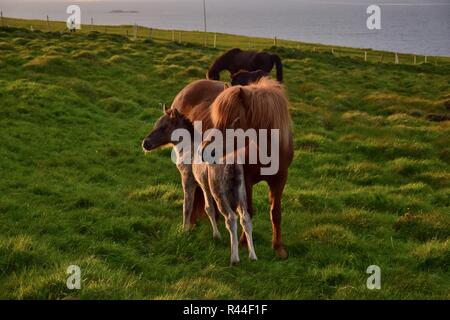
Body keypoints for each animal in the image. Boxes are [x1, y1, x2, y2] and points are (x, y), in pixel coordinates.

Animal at [142, 107, 258, 264]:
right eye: (156, 124)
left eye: (164, 127)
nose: (145, 143)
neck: (187, 149)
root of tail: (232, 163)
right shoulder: (204, 185)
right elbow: (209, 208)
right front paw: (216, 236)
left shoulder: (188, 180)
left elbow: (187, 206)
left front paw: (184, 231)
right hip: (240, 192)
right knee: (245, 218)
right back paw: (253, 256)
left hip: (219, 192)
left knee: (231, 218)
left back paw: (234, 258)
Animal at [171, 77, 294, 258]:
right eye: (216, 119)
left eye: (234, 121)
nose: (204, 149)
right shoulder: (246, 180)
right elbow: (248, 211)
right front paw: (243, 243)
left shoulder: (280, 180)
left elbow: (276, 213)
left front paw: (278, 247)